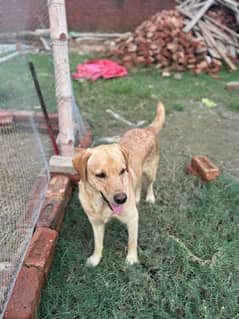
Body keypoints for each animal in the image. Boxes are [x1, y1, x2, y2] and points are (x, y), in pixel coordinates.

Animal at [73, 102, 165, 268]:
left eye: (122, 171)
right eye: (100, 175)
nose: (122, 199)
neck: (102, 205)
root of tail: (145, 129)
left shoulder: (133, 218)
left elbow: (132, 241)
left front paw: (132, 258)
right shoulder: (96, 223)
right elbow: (98, 244)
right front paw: (95, 259)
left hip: (151, 171)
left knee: (149, 184)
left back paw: (149, 197)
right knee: (138, 183)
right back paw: (136, 197)